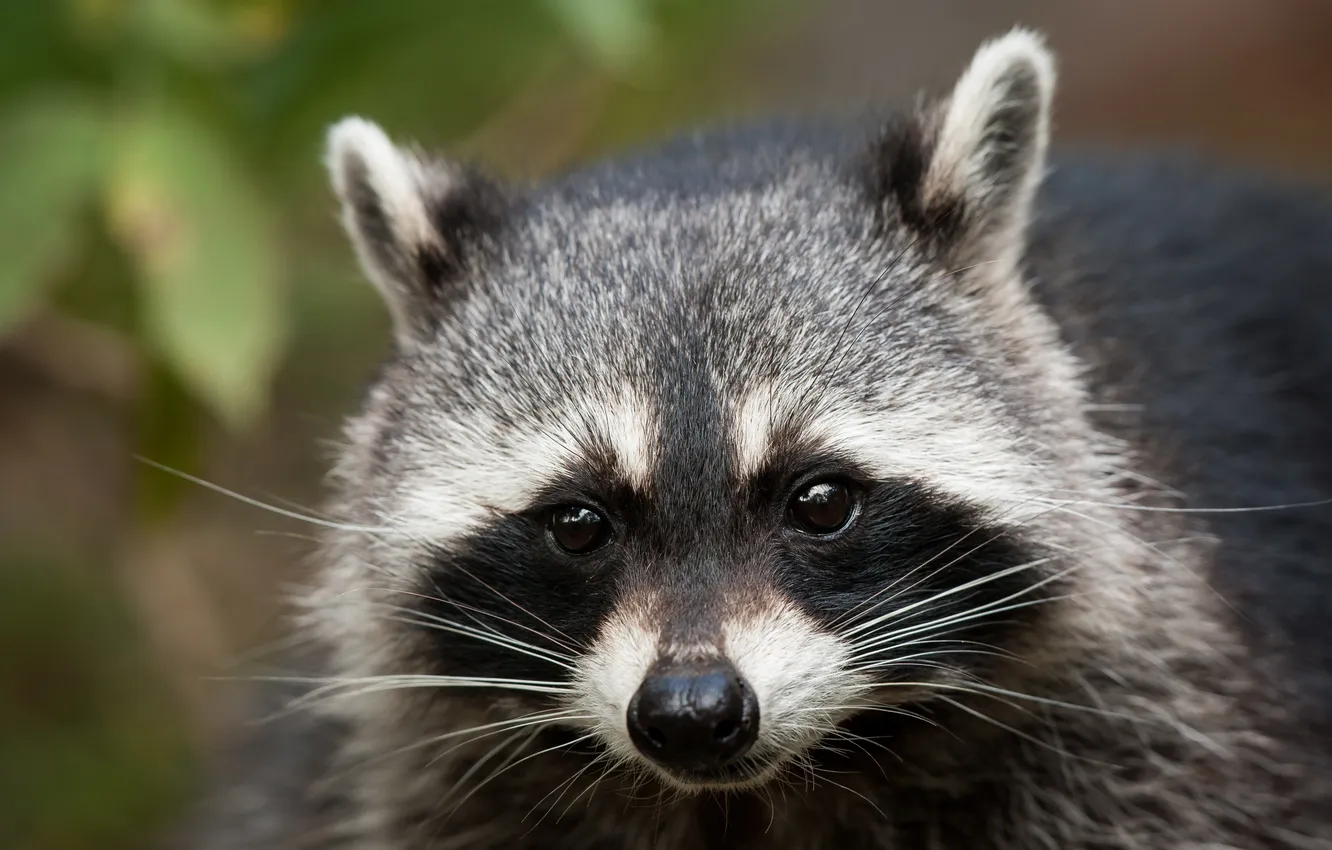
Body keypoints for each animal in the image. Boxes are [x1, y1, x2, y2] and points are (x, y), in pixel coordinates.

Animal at [186, 29, 1332, 850]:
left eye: (819, 500)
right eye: (578, 522)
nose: (691, 712)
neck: (760, 793)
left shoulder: (1170, 720)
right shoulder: (417, 782)